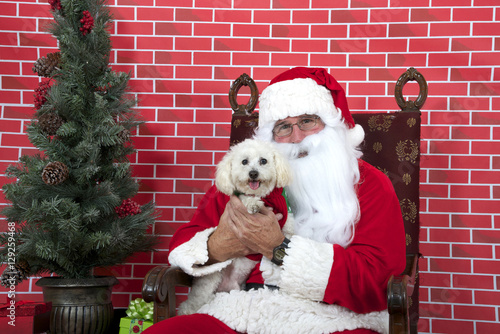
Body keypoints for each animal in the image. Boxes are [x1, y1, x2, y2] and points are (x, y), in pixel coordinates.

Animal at [178, 139, 292, 316]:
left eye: (263, 161)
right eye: (244, 162)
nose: (253, 173)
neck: (263, 196)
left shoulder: (283, 216)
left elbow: (289, 227)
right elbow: (245, 200)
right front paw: (253, 204)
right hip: (210, 280)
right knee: (191, 304)